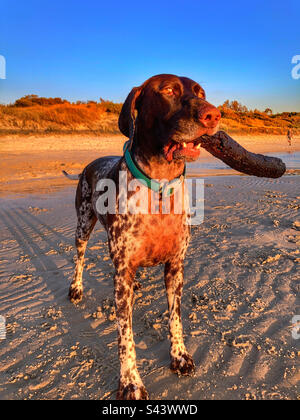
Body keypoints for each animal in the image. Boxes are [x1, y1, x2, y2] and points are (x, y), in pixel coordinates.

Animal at [65, 74, 220, 398]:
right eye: (168, 90)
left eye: (200, 93)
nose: (213, 115)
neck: (159, 187)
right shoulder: (122, 275)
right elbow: (126, 338)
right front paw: (130, 382)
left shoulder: (175, 267)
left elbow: (175, 319)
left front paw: (179, 356)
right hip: (83, 225)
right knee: (80, 257)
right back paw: (76, 288)